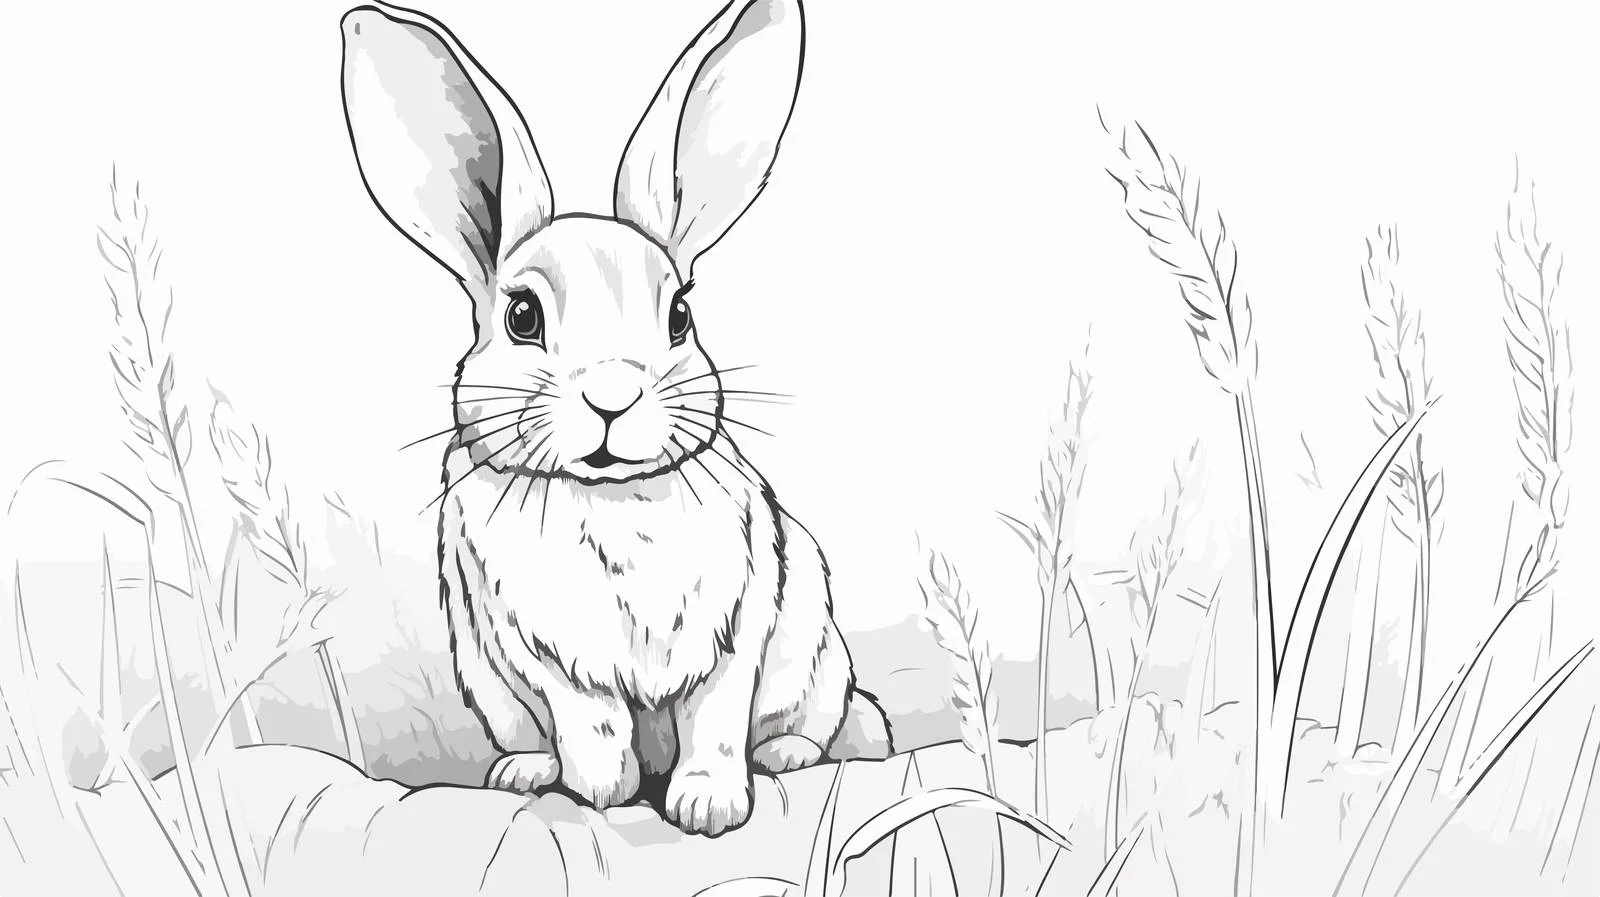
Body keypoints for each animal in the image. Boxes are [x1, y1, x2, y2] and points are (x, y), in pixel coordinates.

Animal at [339, 0, 891, 835]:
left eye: (681, 315)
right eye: (522, 315)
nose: (612, 395)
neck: (609, 496)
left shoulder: (735, 630)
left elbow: (714, 720)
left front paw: (708, 805)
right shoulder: (544, 654)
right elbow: (591, 722)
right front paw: (603, 790)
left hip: (818, 660)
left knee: (830, 722)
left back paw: (788, 753)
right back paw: (527, 770)